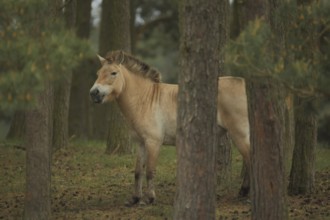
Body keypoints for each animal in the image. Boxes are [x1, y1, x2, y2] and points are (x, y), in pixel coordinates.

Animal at [89, 50, 249, 205]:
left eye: (113, 73)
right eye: (98, 73)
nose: (94, 93)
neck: (145, 99)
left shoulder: (153, 143)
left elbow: (150, 171)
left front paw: (148, 199)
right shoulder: (140, 143)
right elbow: (138, 172)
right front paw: (134, 198)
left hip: (239, 134)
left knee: (249, 158)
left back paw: (244, 193)